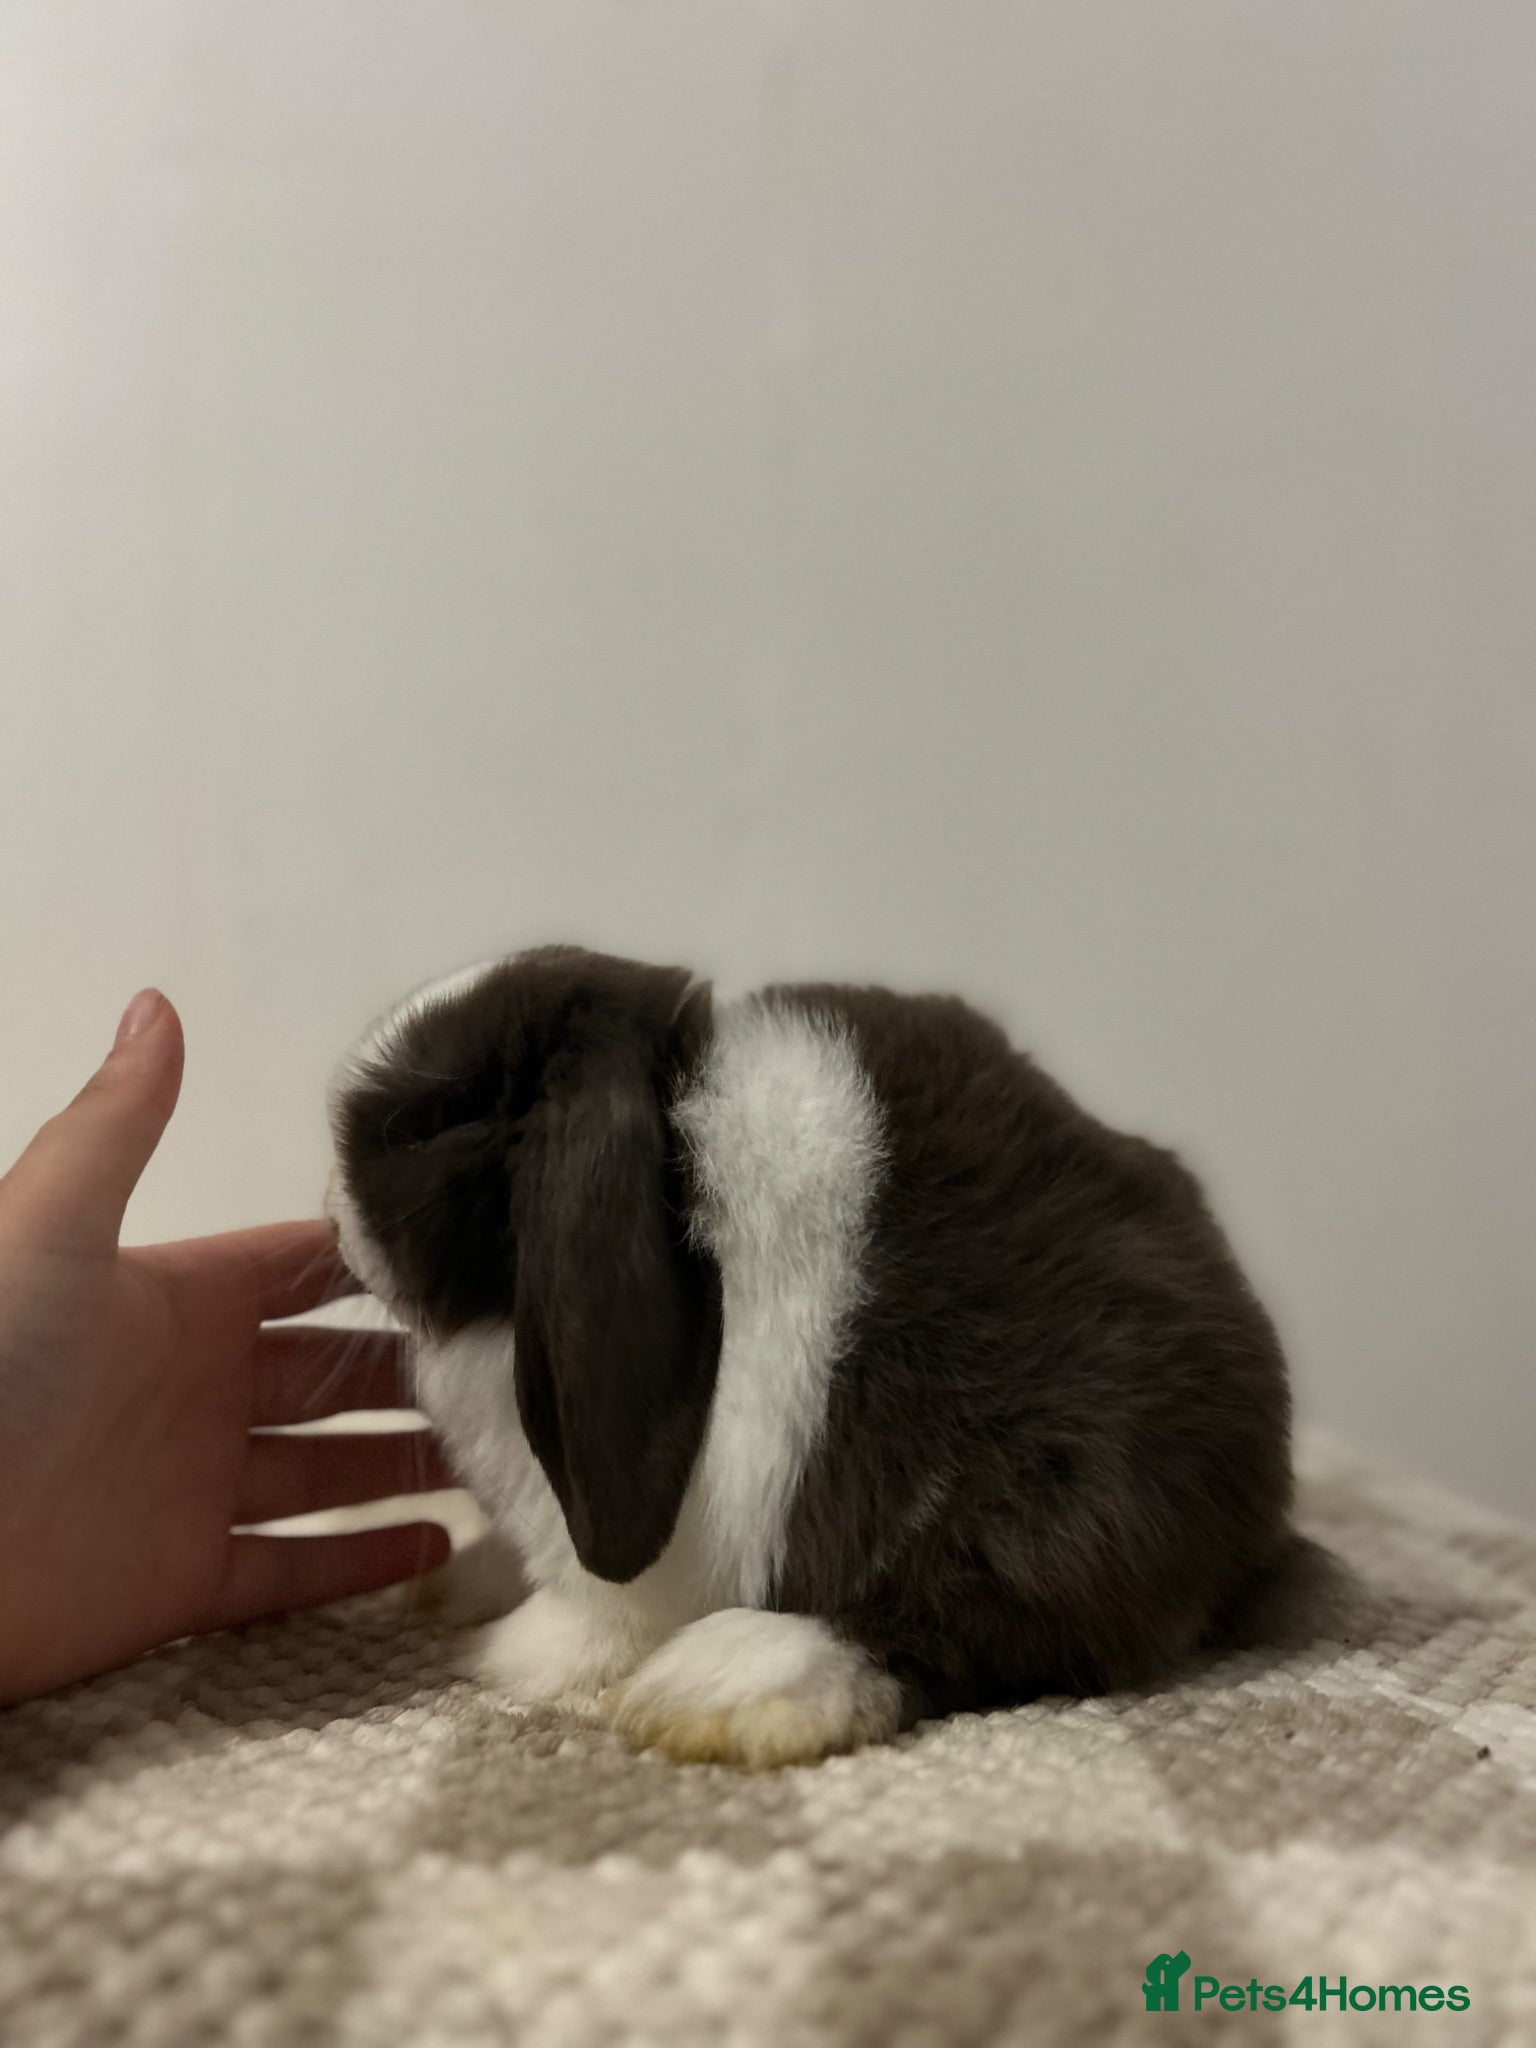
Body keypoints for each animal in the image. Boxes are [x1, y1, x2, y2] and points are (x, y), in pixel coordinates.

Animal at [325, 944, 1298, 1768]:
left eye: (432, 1121)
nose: (332, 1216)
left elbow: (595, 1618)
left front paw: (508, 1658)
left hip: (1055, 1476)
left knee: (976, 1623)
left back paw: (721, 1686)